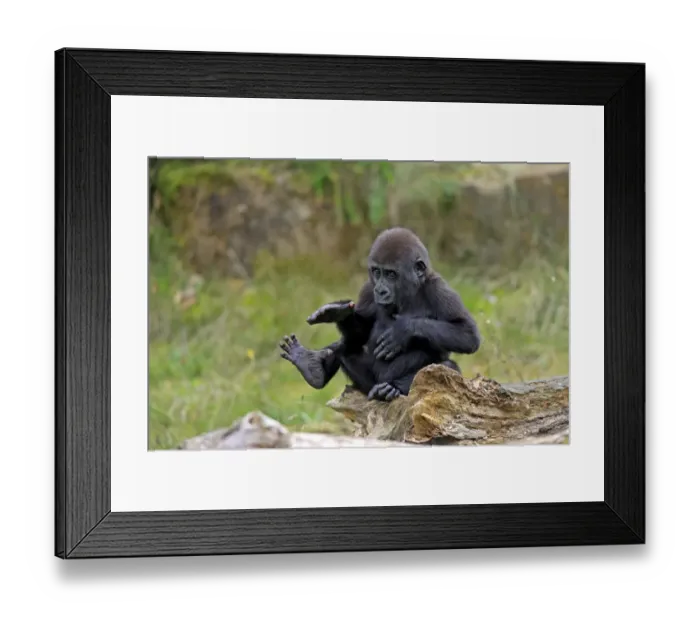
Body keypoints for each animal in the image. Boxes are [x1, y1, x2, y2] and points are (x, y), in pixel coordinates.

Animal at [280, 227, 481, 401]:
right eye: (377, 272)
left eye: (391, 274)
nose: (381, 291)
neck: (409, 293)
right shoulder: (368, 289)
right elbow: (361, 331)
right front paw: (338, 313)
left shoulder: (438, 288)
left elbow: (467, 334)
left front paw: (402, 331)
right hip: (368, 385)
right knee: (347, 344)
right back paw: (312, 368)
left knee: (446, 367)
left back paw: (394, 387)